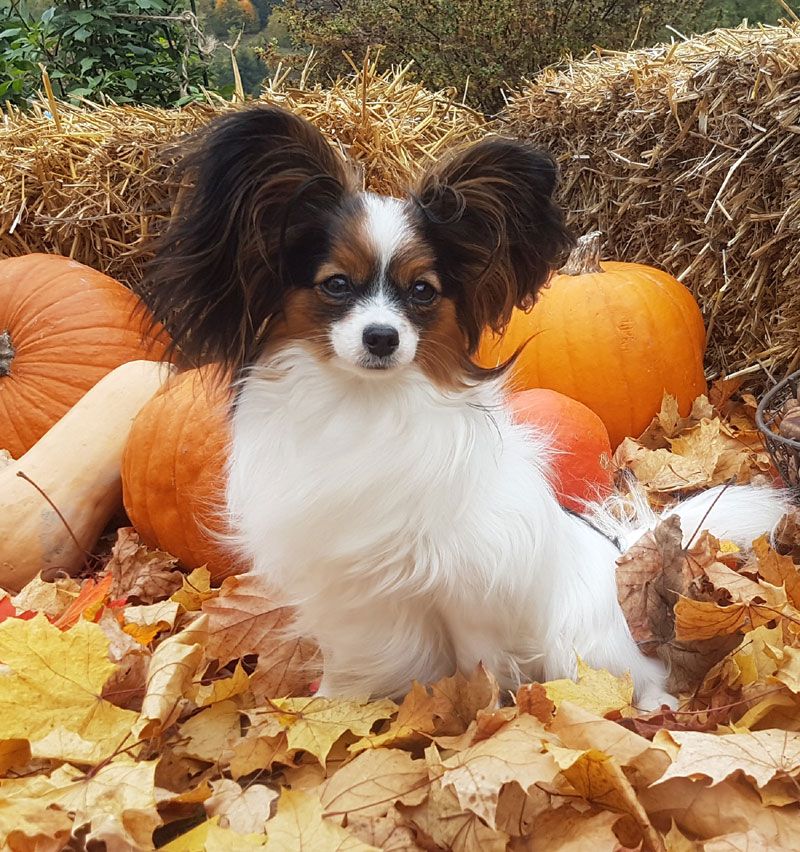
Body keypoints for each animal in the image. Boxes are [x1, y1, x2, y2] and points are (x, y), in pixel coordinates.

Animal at [142, 103, 788, 708]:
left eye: (422, 291)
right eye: (336, 285)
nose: (382, 337)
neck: (366, 403)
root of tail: (618, 557)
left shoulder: (467, 585)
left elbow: (479, 664)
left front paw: (482, 719)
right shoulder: (347, 595)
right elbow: (348, 669)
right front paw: (328, 711)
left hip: (584, 643)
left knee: (632, 675)